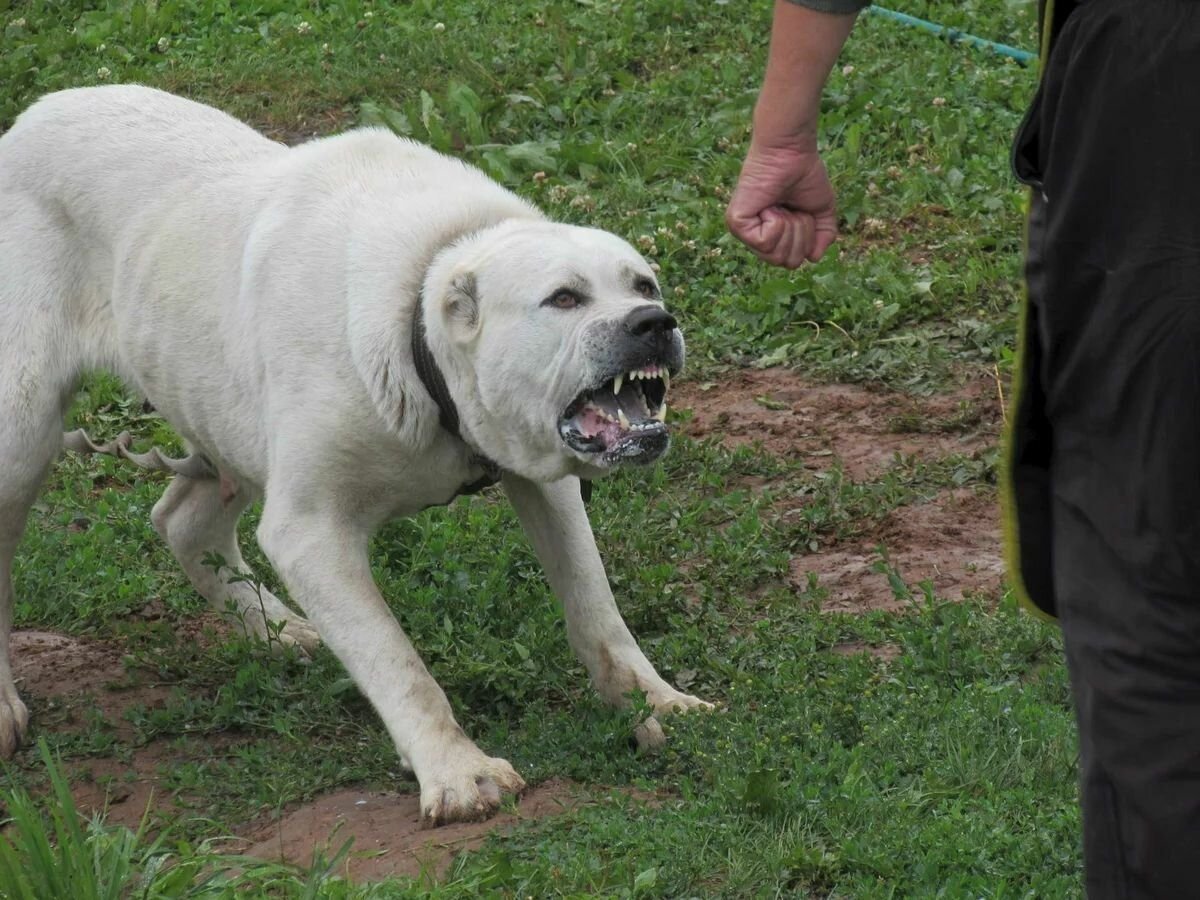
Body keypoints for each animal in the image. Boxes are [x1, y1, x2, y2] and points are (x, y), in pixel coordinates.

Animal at [0, 88, 710, 830]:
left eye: (644, 284)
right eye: (564, 299)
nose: (654, 323)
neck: (420, 328)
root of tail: (30, 118)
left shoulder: (545, 483)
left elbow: (595, 606)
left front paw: (655, 701)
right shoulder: (310, 530)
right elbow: (396, 661)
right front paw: (457, 772)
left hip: (226, 415)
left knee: (183, 521)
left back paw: (278, 629)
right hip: (23, 430)